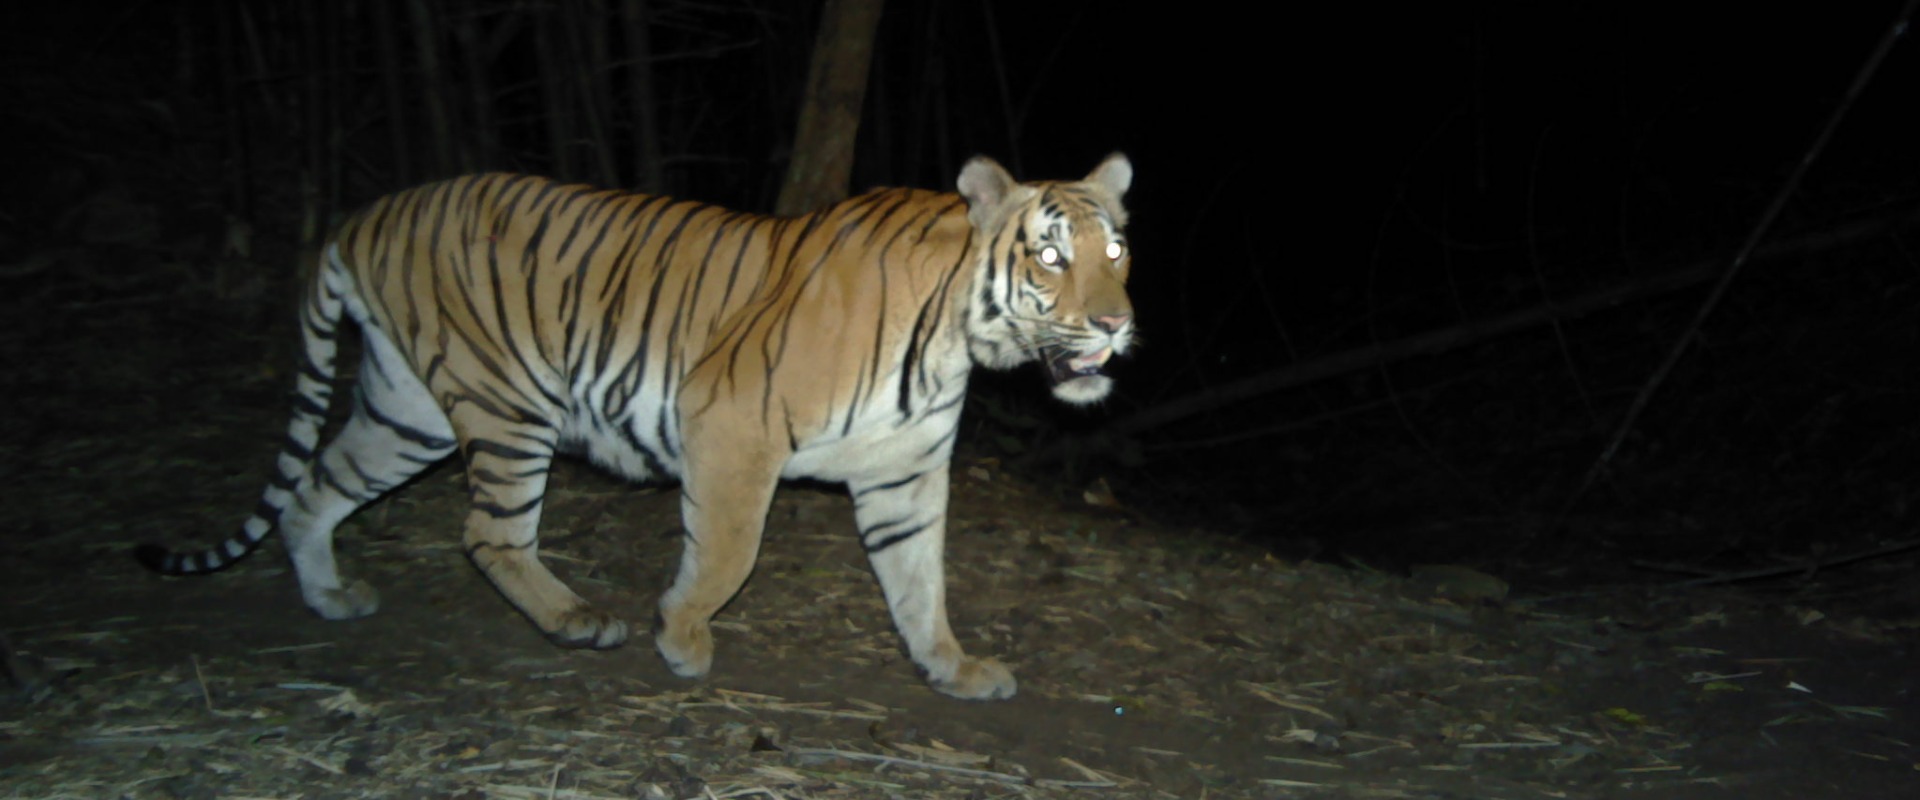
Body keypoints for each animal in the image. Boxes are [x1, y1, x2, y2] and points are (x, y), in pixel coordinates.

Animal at [137, 154, 1134, 700]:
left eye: (1117, 249)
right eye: (1051, 257)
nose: (1118, 324)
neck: (957, 341)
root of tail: (361, 215)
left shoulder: (903, 475)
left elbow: (920, 583)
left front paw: (951, 669)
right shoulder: (730, 426)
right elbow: (727, 552)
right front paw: (682, 636)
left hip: (405, 407)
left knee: (314, 489)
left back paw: (329, 597)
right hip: (507, 404)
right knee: (486, 533)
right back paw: (578, 622)